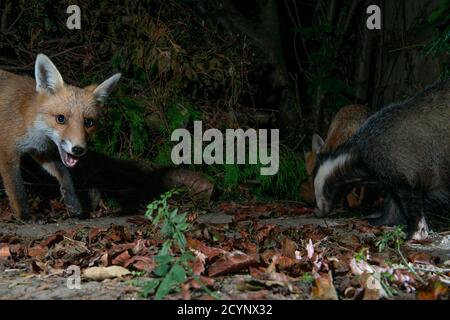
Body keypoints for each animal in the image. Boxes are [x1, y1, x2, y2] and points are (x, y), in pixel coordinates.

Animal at [0, 53, 120, 221]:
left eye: (89, 122)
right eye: (60, 119)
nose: (78, 149)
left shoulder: (40, 150)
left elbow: (64, 173)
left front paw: (73, 202)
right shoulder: (7, 152)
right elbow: (17, 190)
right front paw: (25, 215)